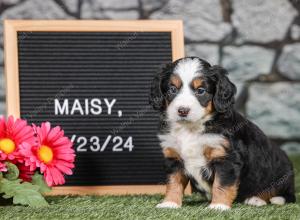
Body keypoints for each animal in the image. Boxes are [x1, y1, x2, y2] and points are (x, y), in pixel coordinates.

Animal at [149, 56, 296, 210]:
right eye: (172, 89)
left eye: (200, 90)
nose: (182, 110)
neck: (191, 128)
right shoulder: (174, 158)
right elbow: (173, 183)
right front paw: (170, 203)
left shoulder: (226, 158)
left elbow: (222, 184)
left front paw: (218, 206)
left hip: (281, 173)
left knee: (285, 194)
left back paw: (260, 199)